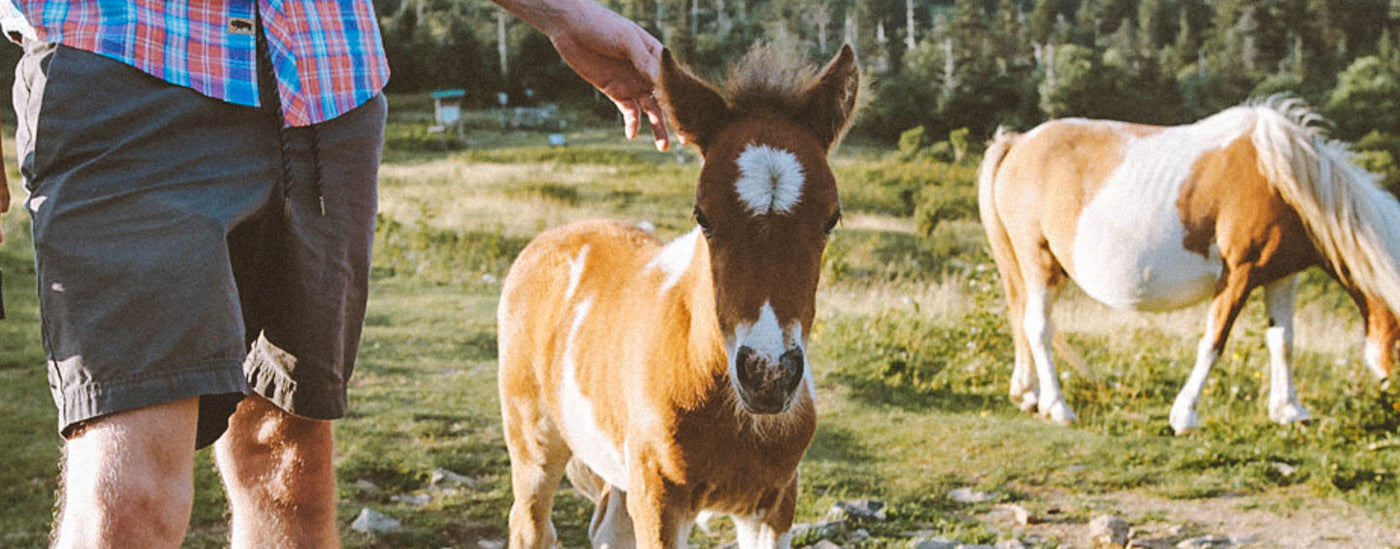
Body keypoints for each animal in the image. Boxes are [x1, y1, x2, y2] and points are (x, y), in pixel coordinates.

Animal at [496, 43, 859, 549]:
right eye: (703, 216)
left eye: (831, 219)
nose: (767, 375)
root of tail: (548, 242)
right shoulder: (659, 502)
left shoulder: (774, 504)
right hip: (535, 447)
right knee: (530, 524)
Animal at [977, 98, 1400, 434]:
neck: (1284, 181)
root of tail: (1018, 142)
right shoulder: (1238, 275)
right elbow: (1213, 343)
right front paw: (1184, 416)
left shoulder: (1282, 277)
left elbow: (1282, 342)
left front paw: (1289, 411)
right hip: (1039, 263)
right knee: (1038, 327)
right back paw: (1058, 407)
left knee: (1022, 318)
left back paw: (1028, 394)